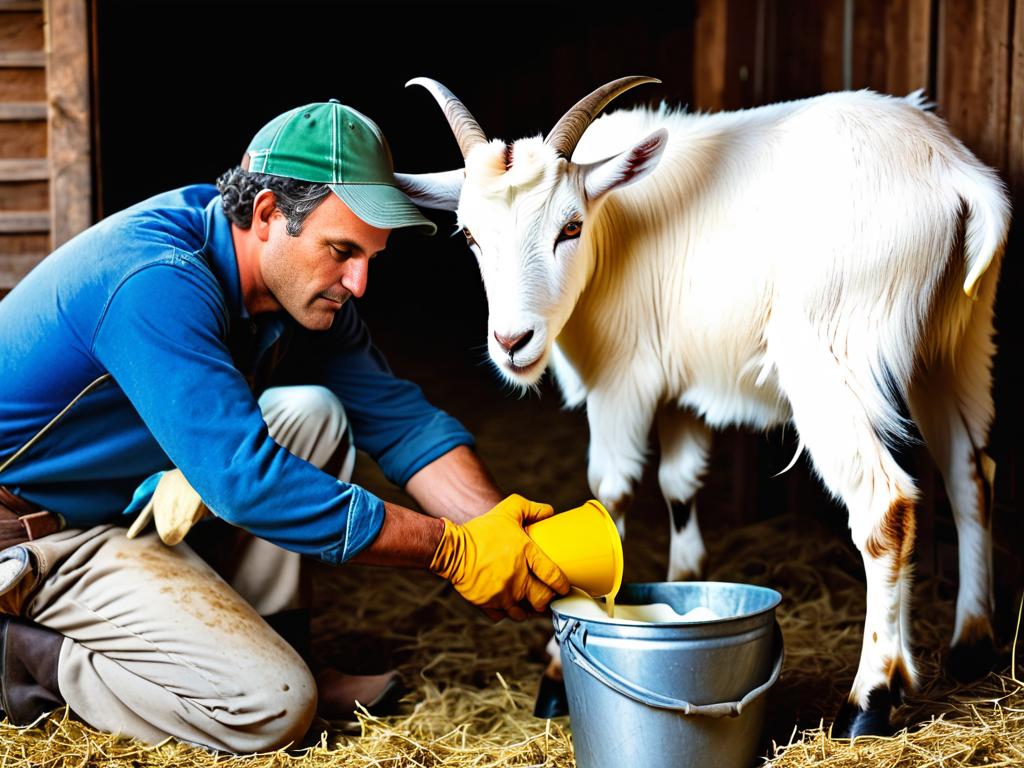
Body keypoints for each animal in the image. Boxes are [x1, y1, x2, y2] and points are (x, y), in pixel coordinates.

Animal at [395, 78, 1011, 741]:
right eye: (470, 236)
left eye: (571, 226)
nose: (512, 342)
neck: (616, 227)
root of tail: (951, 172)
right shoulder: (680, 387)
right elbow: (680, 486)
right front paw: (685, 592)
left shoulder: (624, 379)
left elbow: (609, 497)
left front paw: (559, 675)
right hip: (957, 340)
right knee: (971, 475)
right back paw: (971, 644)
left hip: (829, 349)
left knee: (886, 505)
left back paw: (868, 701)